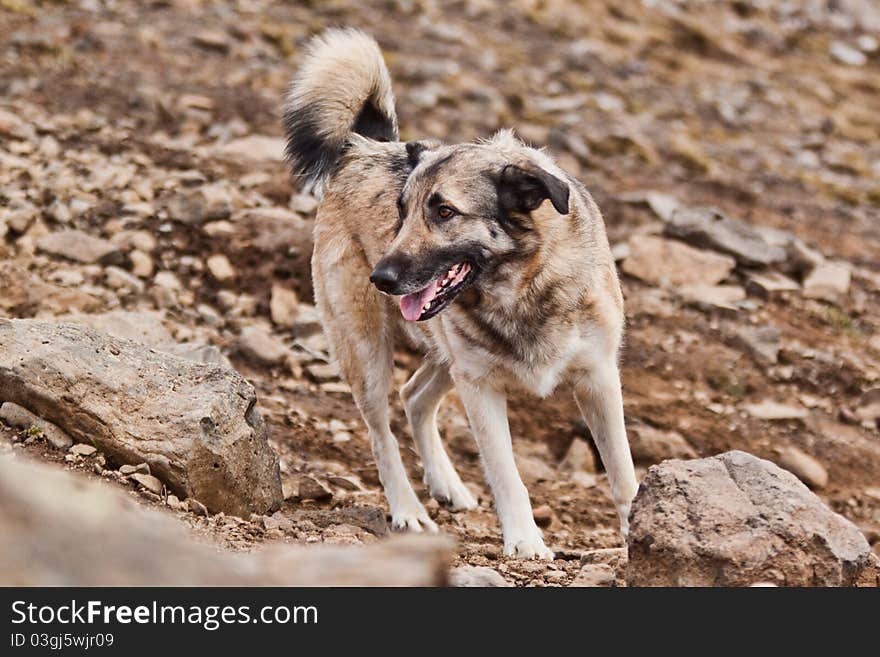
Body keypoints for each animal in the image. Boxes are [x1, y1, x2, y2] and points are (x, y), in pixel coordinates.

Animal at [286, 28, 636, 556]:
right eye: (401, 210)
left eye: (445, 212)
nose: (381, 278)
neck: (521, 287)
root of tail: (368, 145)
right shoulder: (480, 387)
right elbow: (507, 474)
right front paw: (525, 542)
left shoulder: (597, 379)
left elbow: (623, 477)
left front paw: (645, 535)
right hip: (367, 352)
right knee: (381, 430)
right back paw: (408, 509)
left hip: (445, 355)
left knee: (414, 395)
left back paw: (446, 484)